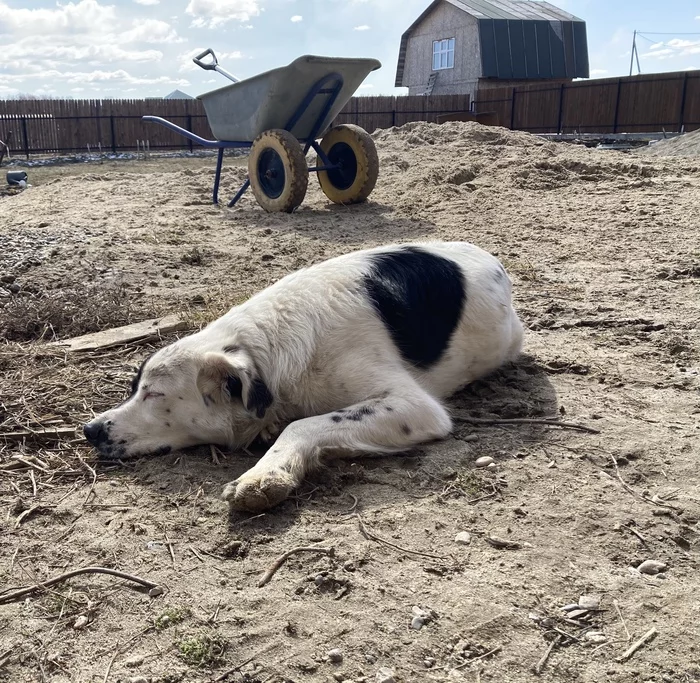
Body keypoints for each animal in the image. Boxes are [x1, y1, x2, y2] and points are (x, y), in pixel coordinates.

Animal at [82, 243, 524, 510]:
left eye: (155, 394)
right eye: (134, 388)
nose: (89, 430)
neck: (268, 352)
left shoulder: (415, 406)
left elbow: (300, 424)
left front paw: (262, 477)